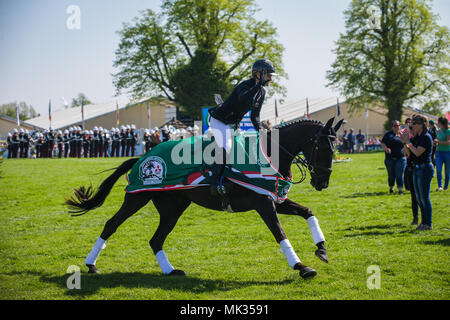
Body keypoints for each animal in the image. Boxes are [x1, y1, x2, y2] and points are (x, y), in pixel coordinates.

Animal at [65, 116, 342, 278]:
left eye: (335, 147)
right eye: (321, 146)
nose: (322, 182)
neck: (268, 155)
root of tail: (143, 157)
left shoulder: (275, 201)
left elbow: (308, 213)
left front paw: (322, 249)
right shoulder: (263, 204)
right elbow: (280, 233)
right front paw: (301, 267)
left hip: (173, 207)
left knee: (156, 240)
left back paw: (170, 270)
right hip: (137, 198)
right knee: (111, 224)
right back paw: (91, 265)